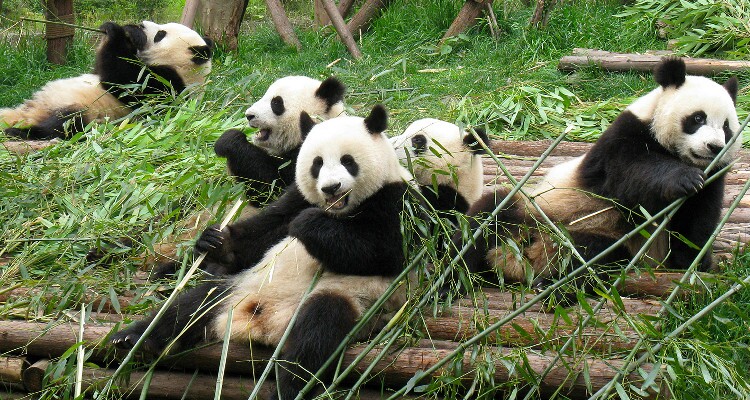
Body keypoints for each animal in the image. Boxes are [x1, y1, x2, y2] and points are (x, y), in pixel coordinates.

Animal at [1, 21, 213, 140]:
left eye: (161, 35)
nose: (142, 25)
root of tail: (32, 112)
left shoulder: (167, 88)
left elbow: (123, 81)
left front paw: (119, 31)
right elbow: (102, 68)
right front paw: (128, 31)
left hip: (85, 112)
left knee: (63, 125)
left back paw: (20, 132)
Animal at [111, 105, 410, 399]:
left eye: (348, 161)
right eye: (317, 163)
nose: (330, 188)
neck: (338, 210)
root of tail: (262, 326)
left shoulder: (395, 202)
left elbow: (381, 253)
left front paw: (308, 224)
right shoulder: (296, 197)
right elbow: (266, 230)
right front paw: (216, 242)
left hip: (348, 298)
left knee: (315, 336)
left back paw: (289, 388)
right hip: (238, 287)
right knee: (190, 307)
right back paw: (133, 339)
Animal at [451, 58, 740, 293]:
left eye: (726, 127)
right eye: (698, 118)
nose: (714, 147)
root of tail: (524, 260)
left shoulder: (714, 175)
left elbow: (697, 221)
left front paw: (695, 261)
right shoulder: (621, 140)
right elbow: (632, 175)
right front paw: (684, 178)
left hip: (608, 243)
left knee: (593, 260)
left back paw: (555, 285)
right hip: (533, 210)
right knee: (486, 220)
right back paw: (453, 279)